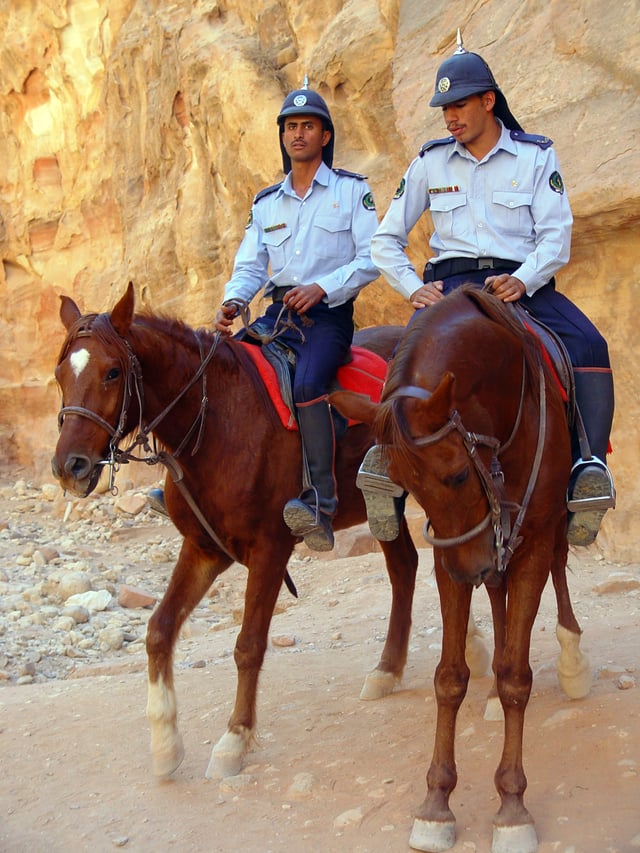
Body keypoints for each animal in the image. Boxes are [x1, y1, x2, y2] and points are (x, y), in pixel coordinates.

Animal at [50, 282, 420, 784]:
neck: (220, 422)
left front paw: (234, 740)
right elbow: (159, 630)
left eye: (112, 372)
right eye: (59, 374)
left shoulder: (270, 550)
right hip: (386, 506)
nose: (69, 466)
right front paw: (165, 742)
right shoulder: (203, 549)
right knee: (408, 568)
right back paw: (391, 669)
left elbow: (248, 646)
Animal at [332, 286, 592, 852]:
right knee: (496, 596)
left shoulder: (532, 539)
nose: (471, 566)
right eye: (400, 482)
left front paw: (513, 808)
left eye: (454, 476)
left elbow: (518, 676)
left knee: (559, 569)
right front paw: (436, 804)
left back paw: (573, 660)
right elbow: (449, 678)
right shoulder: (452, 557)